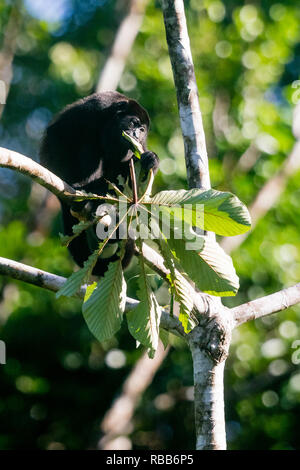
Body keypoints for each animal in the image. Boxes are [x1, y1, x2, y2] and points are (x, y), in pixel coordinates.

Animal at [41, 91, 161, 276]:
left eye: (142, 130)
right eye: (133, 123)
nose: (136, 135)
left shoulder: (139, 144)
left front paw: (151, 159)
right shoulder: (94, 108)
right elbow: (58, 133)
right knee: (88, 144)